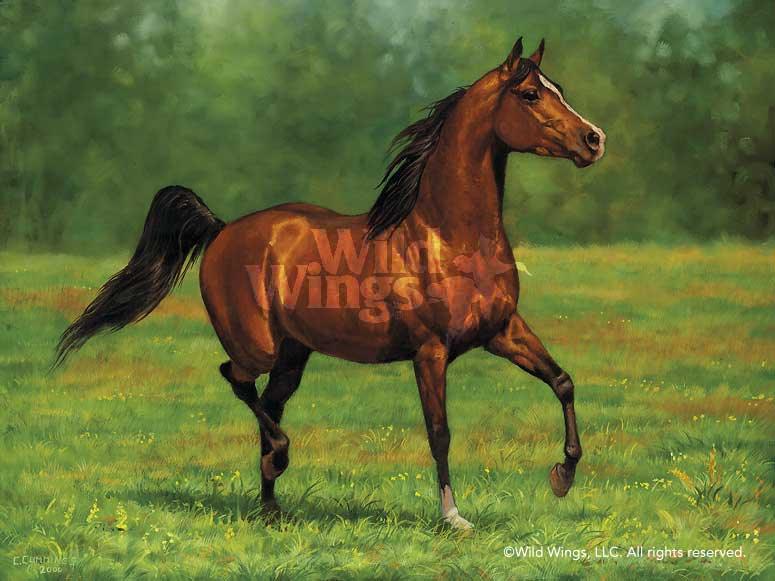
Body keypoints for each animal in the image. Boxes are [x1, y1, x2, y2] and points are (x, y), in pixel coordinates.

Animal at [55, 37, 605, 530]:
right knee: (238, 381)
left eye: (558, 88)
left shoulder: (502, 331)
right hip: (257, 346)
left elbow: (563, 381)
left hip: (292, 353)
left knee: (268, 403)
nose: (595, 139)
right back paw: (279, 461)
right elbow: (440, 431)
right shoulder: (430, 352)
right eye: (530, 94)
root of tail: (222, 228)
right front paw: (454, 518)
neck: (445, 234)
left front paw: (562, 476)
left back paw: (272, 506)